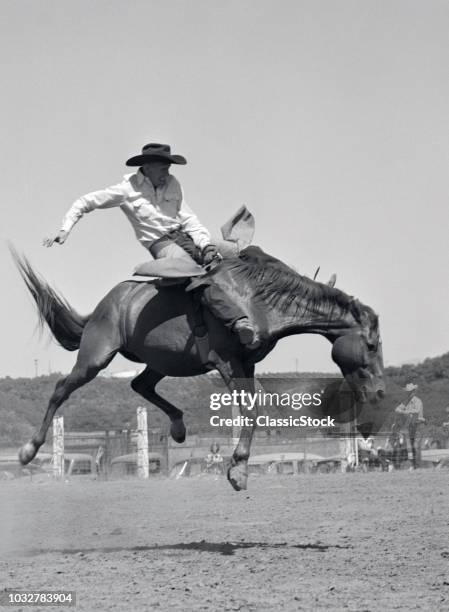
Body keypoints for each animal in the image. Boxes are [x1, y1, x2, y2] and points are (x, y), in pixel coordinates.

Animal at [14, 246, 384, 490]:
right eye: (370, 345)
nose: (379, 392)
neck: (256, 299)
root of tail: (105, 304)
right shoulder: (227, 361)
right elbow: (250, 410)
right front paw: (238, 470)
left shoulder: (247, 363)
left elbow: (254, 408)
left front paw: (238, 466)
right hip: (96, 356)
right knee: (62, 388)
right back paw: (28, 449)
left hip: (162, 360)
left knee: (141, 385)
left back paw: (178, 426)